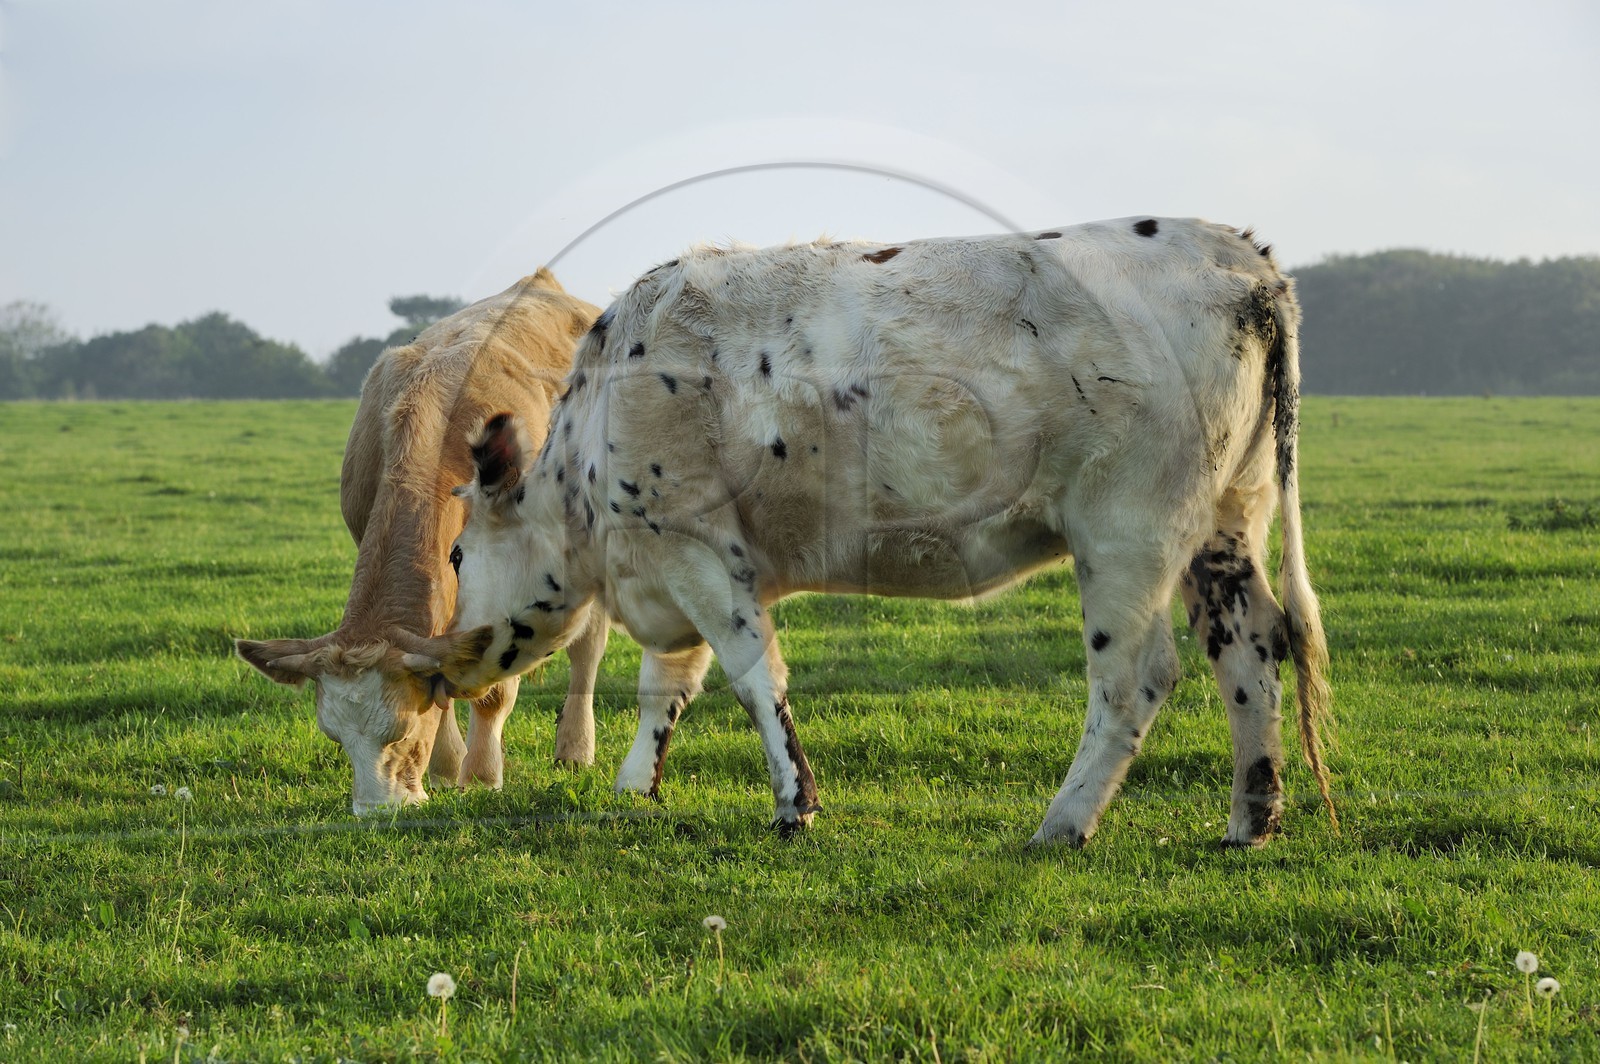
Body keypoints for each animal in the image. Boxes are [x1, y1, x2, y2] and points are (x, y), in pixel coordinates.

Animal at [235, 269, 610, 814]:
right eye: (335, 737)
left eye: (401, 729)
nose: (376, 813)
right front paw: (449, 768)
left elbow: (491, 689)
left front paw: (482, 775)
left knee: (588, 651)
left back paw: (575, 748)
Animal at [420, 218, 1336, 847]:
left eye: (460, 552)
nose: (444, 667)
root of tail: (1237, 253)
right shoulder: (675, 563)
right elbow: (666, 687)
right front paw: (634, 787)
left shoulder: (696, 549)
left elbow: (754, 675)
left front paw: (795, 805)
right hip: (1227, 520)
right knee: (1252, 646)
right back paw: (1250, 819)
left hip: (1126, 530)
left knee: (1135, 677)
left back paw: (1061, 825)